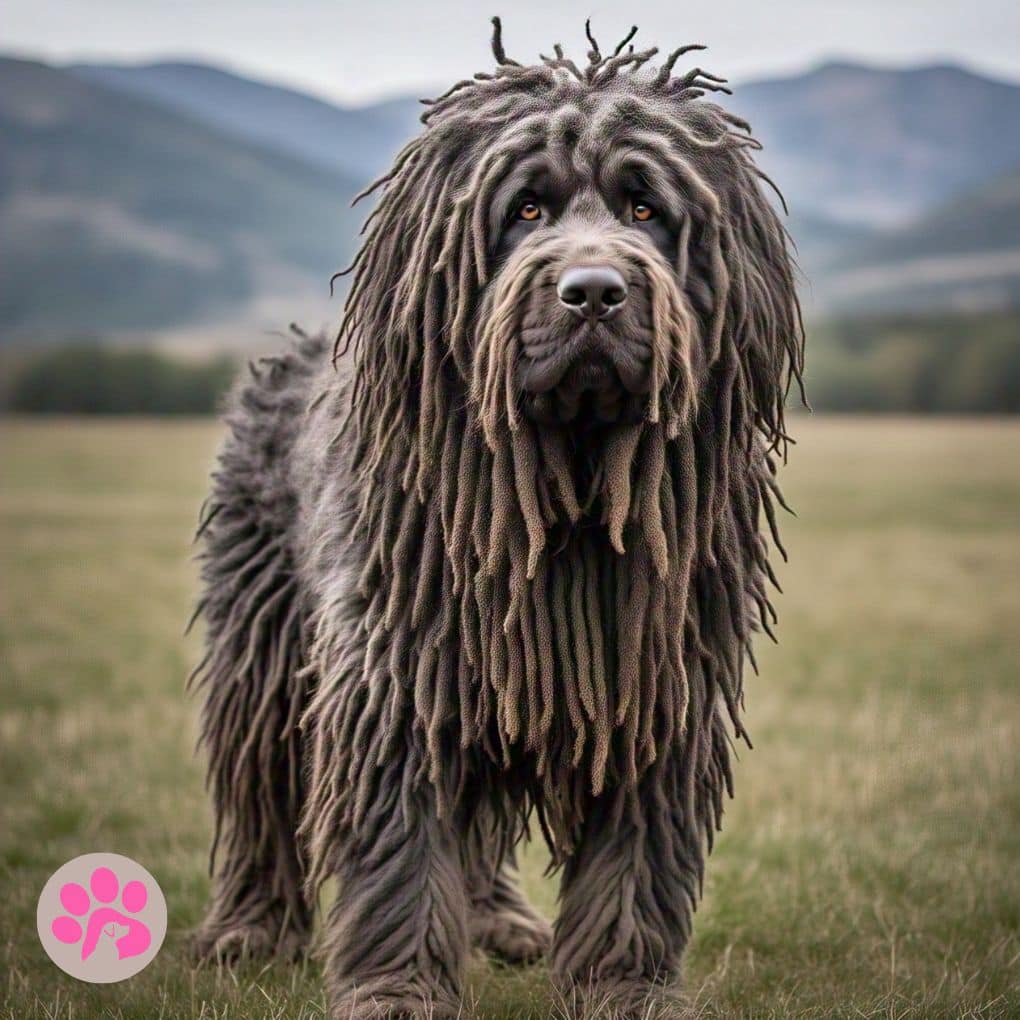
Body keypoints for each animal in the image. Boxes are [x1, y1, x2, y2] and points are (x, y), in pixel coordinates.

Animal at [187, 17, 799, 1020]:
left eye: (645, 210)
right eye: (525, 210)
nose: (593, 291)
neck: (570, 490)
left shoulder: (651, 685)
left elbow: (633, 865)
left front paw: (624, 986)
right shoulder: (398, 676)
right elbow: (399, 852)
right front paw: (397, 990)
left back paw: (501, 922)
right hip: (264, 637)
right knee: (259, 790)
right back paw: (250, 927)